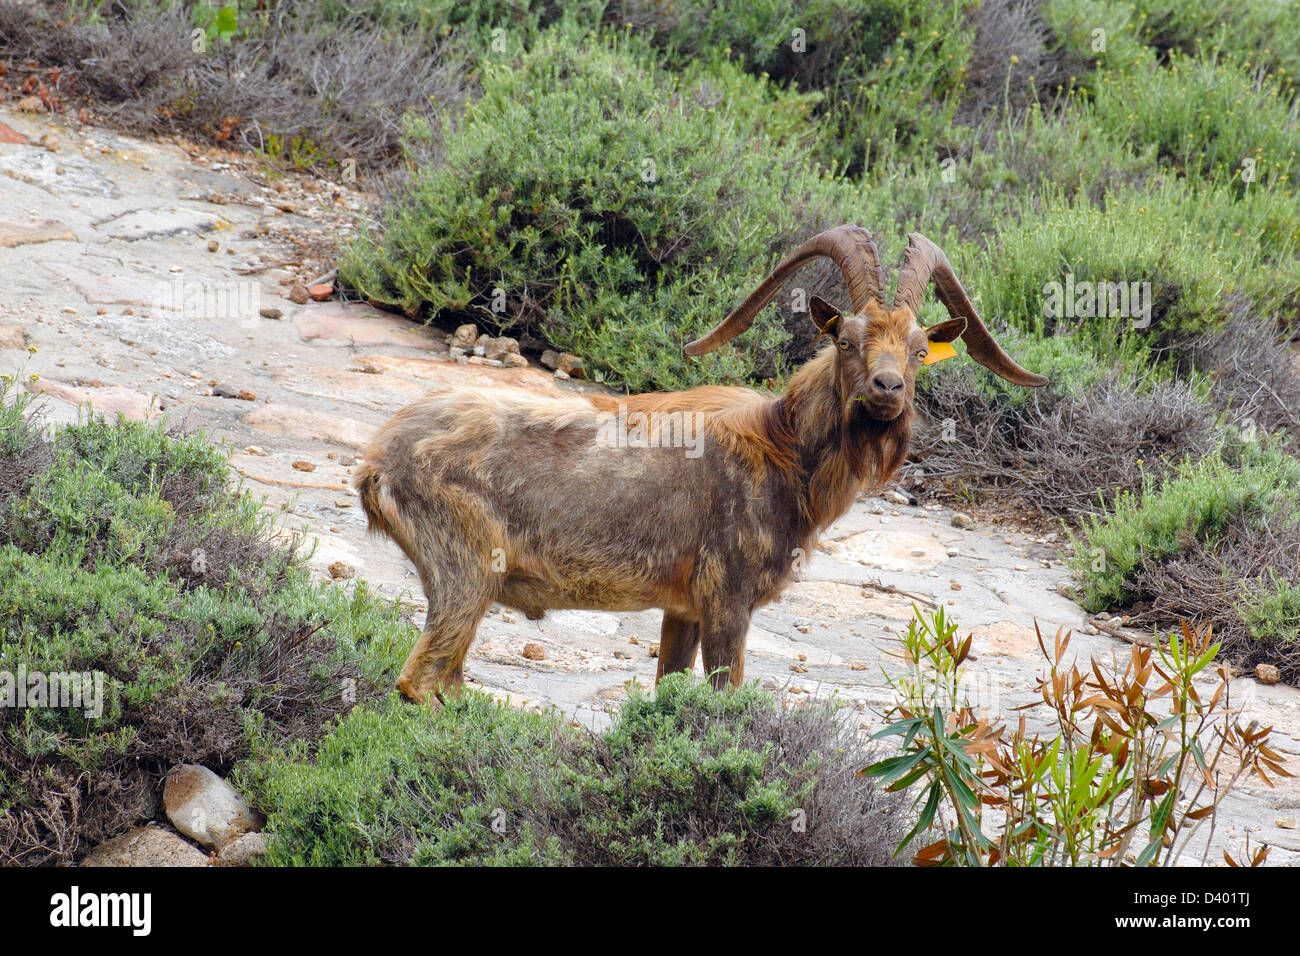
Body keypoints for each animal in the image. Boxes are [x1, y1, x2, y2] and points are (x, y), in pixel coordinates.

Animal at [355, 226, 1046, 702]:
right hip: (467, 571)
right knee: (420, 680)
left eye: (918, 351)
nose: (887, 390)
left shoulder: (682, 607)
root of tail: (376, 462)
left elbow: (669, 685)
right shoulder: (727, 598)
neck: (782, 448)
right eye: (847, 339)